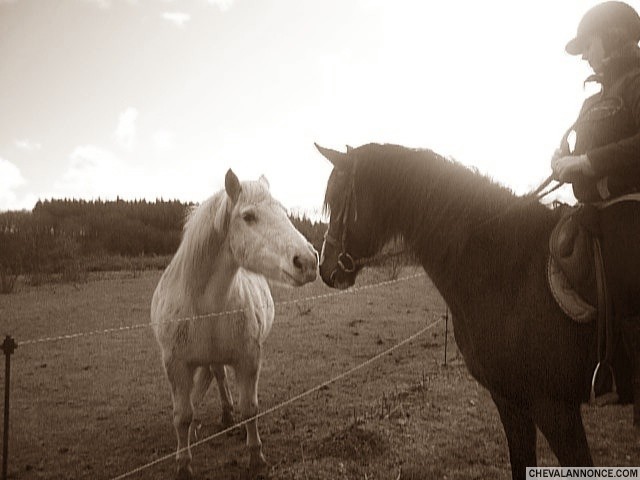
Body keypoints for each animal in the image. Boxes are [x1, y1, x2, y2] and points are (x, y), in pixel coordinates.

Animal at [151, 171, 320, 478]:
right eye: (249, 216)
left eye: (283, 212)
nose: (308, 261)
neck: (204, 306)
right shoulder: (176, 365)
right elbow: (183, 416)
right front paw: (184, 463)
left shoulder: (248, 358)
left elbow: (250, 408)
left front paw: (256, 456)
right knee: (217, 376)